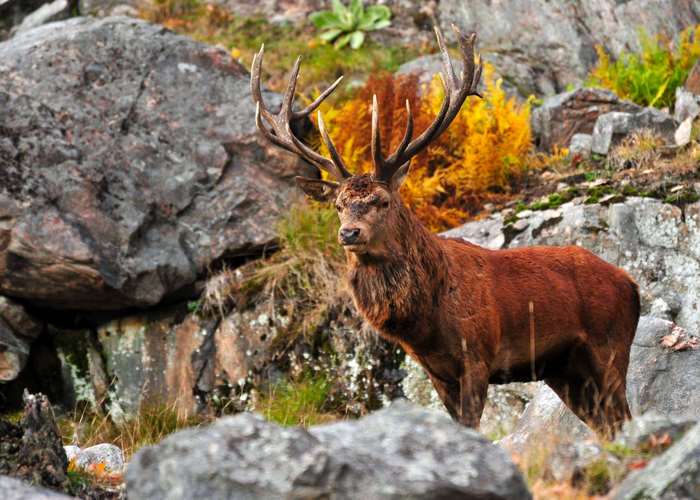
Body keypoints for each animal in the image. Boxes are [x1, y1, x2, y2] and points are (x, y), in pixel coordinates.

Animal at [250, 25, 640, 434]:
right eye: (338, 206)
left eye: (382, 201)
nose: (349, 233)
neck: (427, 321)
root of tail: (631, 284)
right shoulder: (436, 371)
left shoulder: (478, 354)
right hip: (565, 371)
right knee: (607, 426)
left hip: (610, 347)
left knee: (625, 416)